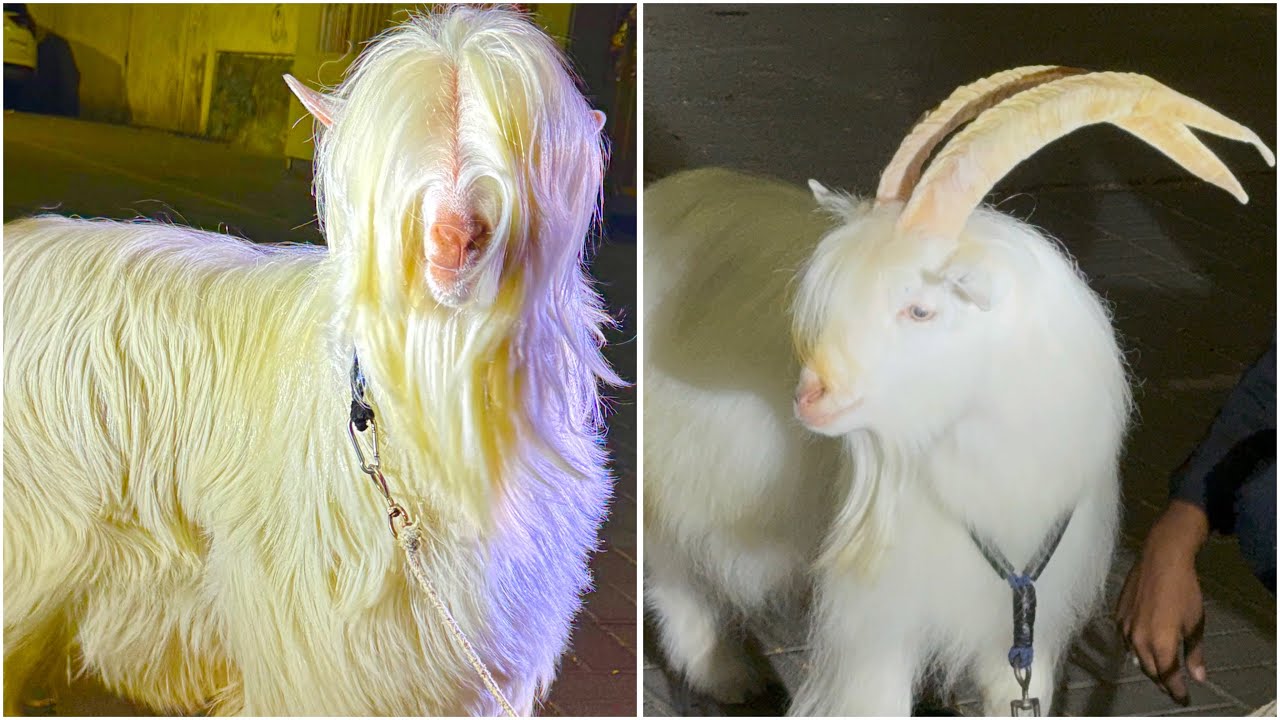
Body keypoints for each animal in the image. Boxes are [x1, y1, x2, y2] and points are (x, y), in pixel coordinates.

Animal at [643, 67, 1273, 715]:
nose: (810, 398)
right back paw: (722, 671)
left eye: (921, 310)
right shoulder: (878, 618)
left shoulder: (1024, 614)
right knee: (671, 567)